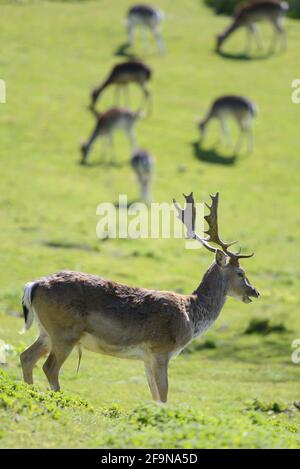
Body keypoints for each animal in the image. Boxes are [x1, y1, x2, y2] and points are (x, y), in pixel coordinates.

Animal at [20, 192, 260, 400]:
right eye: (241, 273)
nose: (255, 292)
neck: (191, 317)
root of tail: (34, 285)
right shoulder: (161, 349)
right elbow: (163, 393)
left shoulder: (146, 357)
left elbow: (154, 394)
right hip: (65, 332)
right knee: (49, 367)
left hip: (46, 332)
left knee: (26, 357)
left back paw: (30, 392)